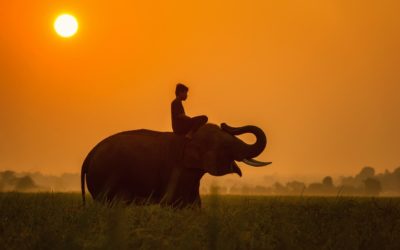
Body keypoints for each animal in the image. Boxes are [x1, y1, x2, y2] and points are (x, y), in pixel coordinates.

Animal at [79, 123, 270, 207]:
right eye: (226, 146)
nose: (225, 124)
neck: (191, 137)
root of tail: (90, 154)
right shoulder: (177, 170)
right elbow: (178, 203)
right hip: (104, 177)